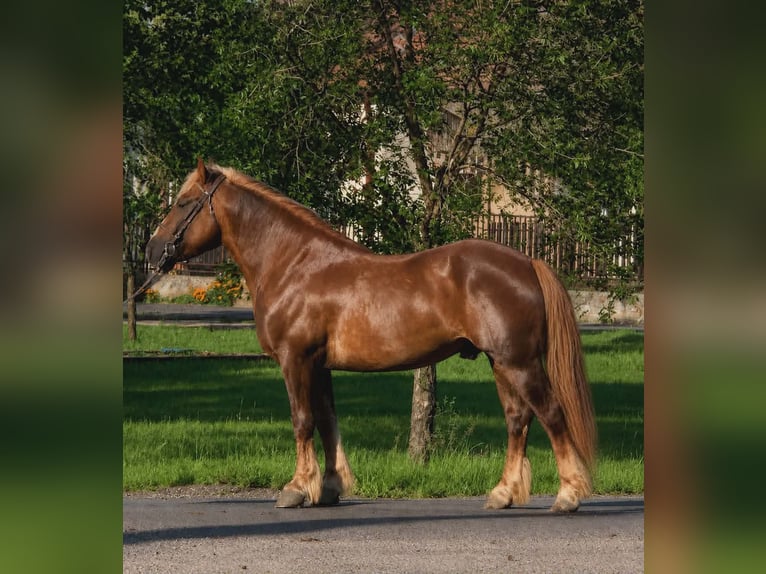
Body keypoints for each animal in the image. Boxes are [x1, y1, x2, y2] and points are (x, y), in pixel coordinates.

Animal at [146, 159, 597, 512]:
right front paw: (330, 487)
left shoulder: (296, 360)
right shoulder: (318, 366)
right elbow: (327, 420)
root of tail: (526, 262)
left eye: (183, 203)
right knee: (518, 419)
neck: (294, 264)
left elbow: (302, 420)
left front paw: (296, 488)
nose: (153, 251)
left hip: (519, 363)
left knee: (551, 414)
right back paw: (503, 493)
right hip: (501, 363)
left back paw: (568, 495)